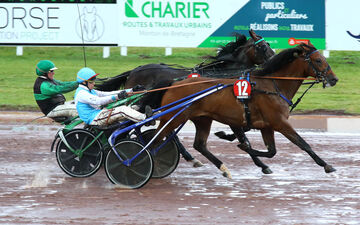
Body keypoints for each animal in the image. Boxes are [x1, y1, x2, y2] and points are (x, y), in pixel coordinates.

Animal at [146, 42, 338, 178]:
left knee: (199, 144)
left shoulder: (266, 126)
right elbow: (302, 143)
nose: (334, 79)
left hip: (202, 119)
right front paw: (327, 165)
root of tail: (174, 83)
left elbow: (271, 151)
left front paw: (246, 149)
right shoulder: (279, 123)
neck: (272, 86)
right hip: (174, 117)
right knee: (155, 141)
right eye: (319, 60)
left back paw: (223, 168)